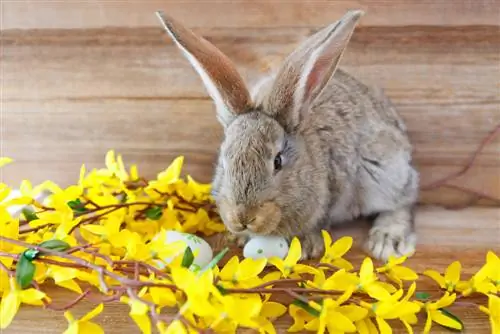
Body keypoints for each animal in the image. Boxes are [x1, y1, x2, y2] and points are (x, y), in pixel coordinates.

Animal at [156, 9, 418, 262]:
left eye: (278, 162)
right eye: (224, 161)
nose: (243, 217)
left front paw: (305, 245)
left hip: (383, 171)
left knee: (405, 197)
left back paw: (387, 242)